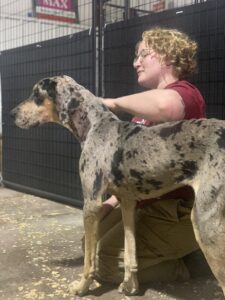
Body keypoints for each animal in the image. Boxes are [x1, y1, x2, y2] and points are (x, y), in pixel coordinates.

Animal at [10, 75, 225, 298]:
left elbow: (89, 260)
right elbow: (130, 253)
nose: (11, 114)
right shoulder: (127, 203)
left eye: (36, 94)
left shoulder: (91, 204)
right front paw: (130, 287)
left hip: (205, 223)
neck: (95, 125)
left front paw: (82, 288)